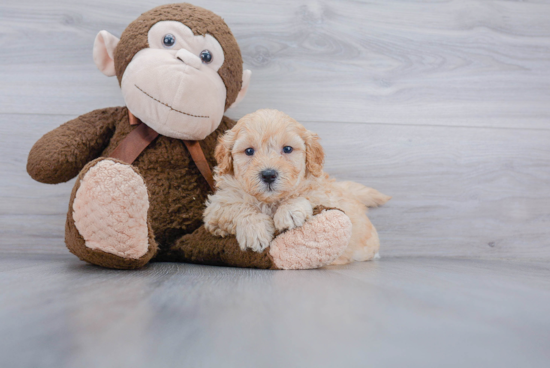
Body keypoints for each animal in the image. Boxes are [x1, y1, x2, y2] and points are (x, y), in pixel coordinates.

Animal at [204, 108, 392, 264]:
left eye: (287, 149)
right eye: (249, 151)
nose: (268, 175)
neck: (270, 201)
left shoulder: (325, 194)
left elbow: (304, 194)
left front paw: (289, 210)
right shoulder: (216, 208)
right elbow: (238, 206)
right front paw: (255, 230)